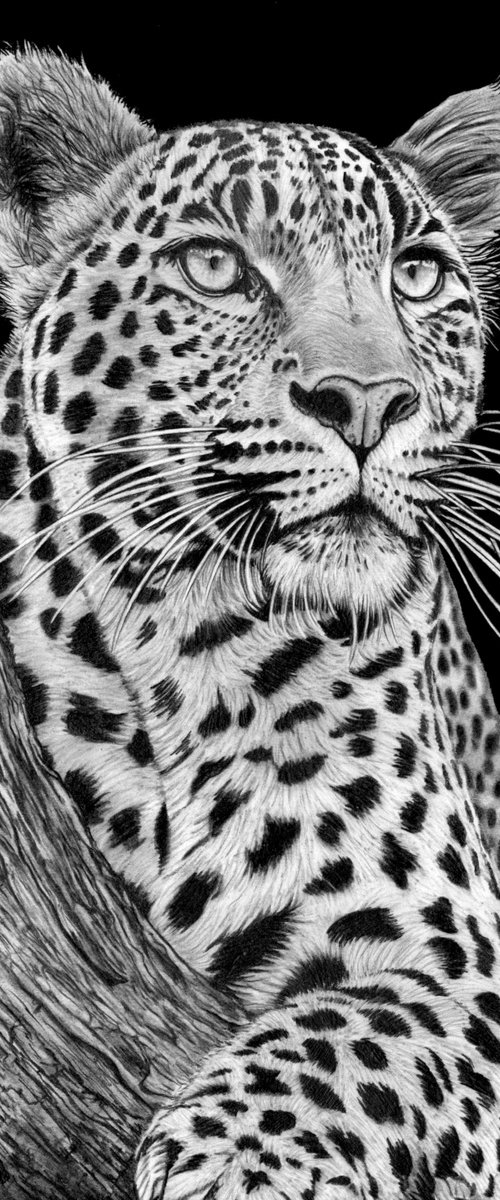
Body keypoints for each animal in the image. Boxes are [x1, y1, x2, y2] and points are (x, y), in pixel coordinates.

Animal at [1, 47, 500, 1200]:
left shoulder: (465, 962)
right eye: (215, 268)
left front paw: (237, 1154)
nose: (367, 402)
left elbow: (368, 1028)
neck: (185, 647)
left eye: (416, 276)